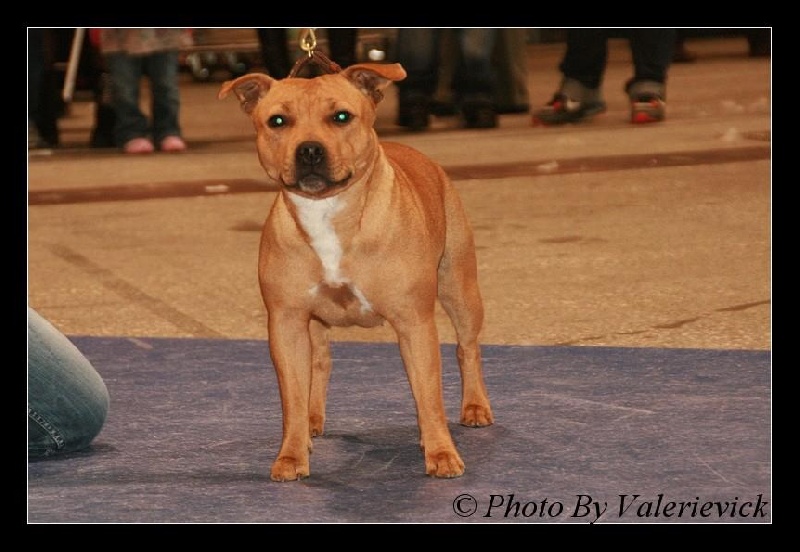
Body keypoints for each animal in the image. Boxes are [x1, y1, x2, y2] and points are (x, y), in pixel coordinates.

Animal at [219, 62, 493, 481]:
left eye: (341, 117)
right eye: (277, 120)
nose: (309, 150)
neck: (328, 211)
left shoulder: (415, 322)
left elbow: (429, 396)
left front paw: (442, 454)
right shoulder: (287, 323)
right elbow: (292, 397)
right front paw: (291, 456)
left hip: (459, 289)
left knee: (468, 347)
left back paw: (475, 408)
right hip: (314, 325)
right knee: (320, 363)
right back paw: (313, 420)